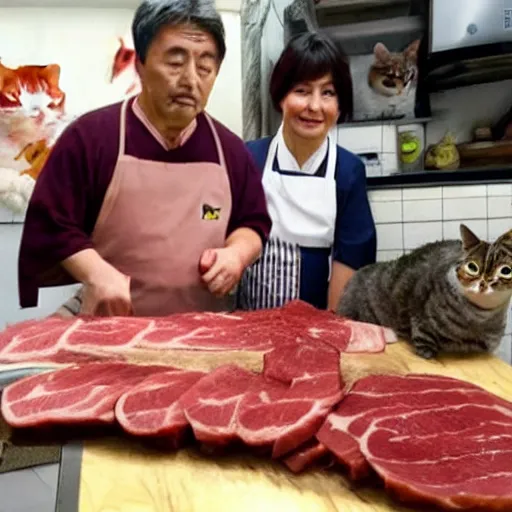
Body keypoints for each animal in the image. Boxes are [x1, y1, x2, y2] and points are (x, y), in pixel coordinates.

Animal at [336, 224, 512, 360]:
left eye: (505, 271)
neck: (477, 317)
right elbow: (426, 347)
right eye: (472, 267)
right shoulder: (422, 326)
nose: (485, 283)